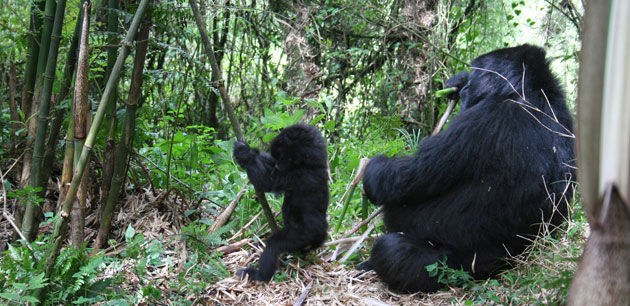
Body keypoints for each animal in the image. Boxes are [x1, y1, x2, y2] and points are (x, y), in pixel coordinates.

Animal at [233, 123, 330, 280]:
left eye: (285, 157)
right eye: (278, 157)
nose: (278, 166)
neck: (312, 165)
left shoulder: (298, 176)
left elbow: (266, 181)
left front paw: (246, 154)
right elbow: (268, 164)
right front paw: (250, 150)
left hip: (305, 235)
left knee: (274, 245)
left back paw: (259, 275)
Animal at [360, 44, 576, 292]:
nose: (467, 86)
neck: (530, 94)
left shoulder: (487, 117)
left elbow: (407, 178)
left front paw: (371, 171)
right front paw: (457, 81)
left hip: (458, 267)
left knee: (391, 250)